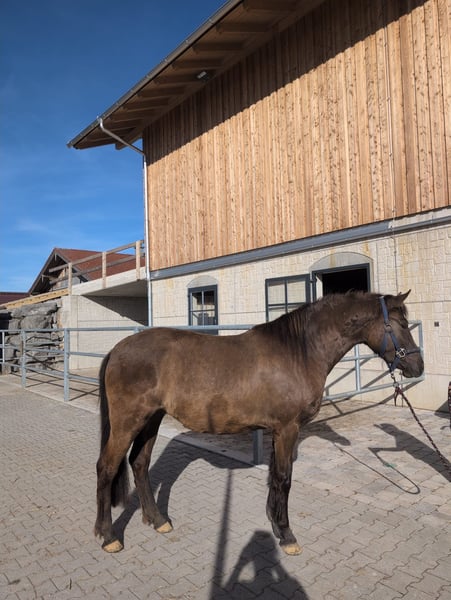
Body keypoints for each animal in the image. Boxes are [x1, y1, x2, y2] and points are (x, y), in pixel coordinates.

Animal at [94, 290, 424, 555]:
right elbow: (284, 478)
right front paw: (288, 536)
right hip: (128, 421)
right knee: (107, 468)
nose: (418, 366)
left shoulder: (278, 431)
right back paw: (108, 536)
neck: (298, 352)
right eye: (401, 324)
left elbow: (275, 476)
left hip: (152, 419)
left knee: (139, 463)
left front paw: (276, 525)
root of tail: (118, 349)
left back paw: (158, 520)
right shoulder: (288, 428)